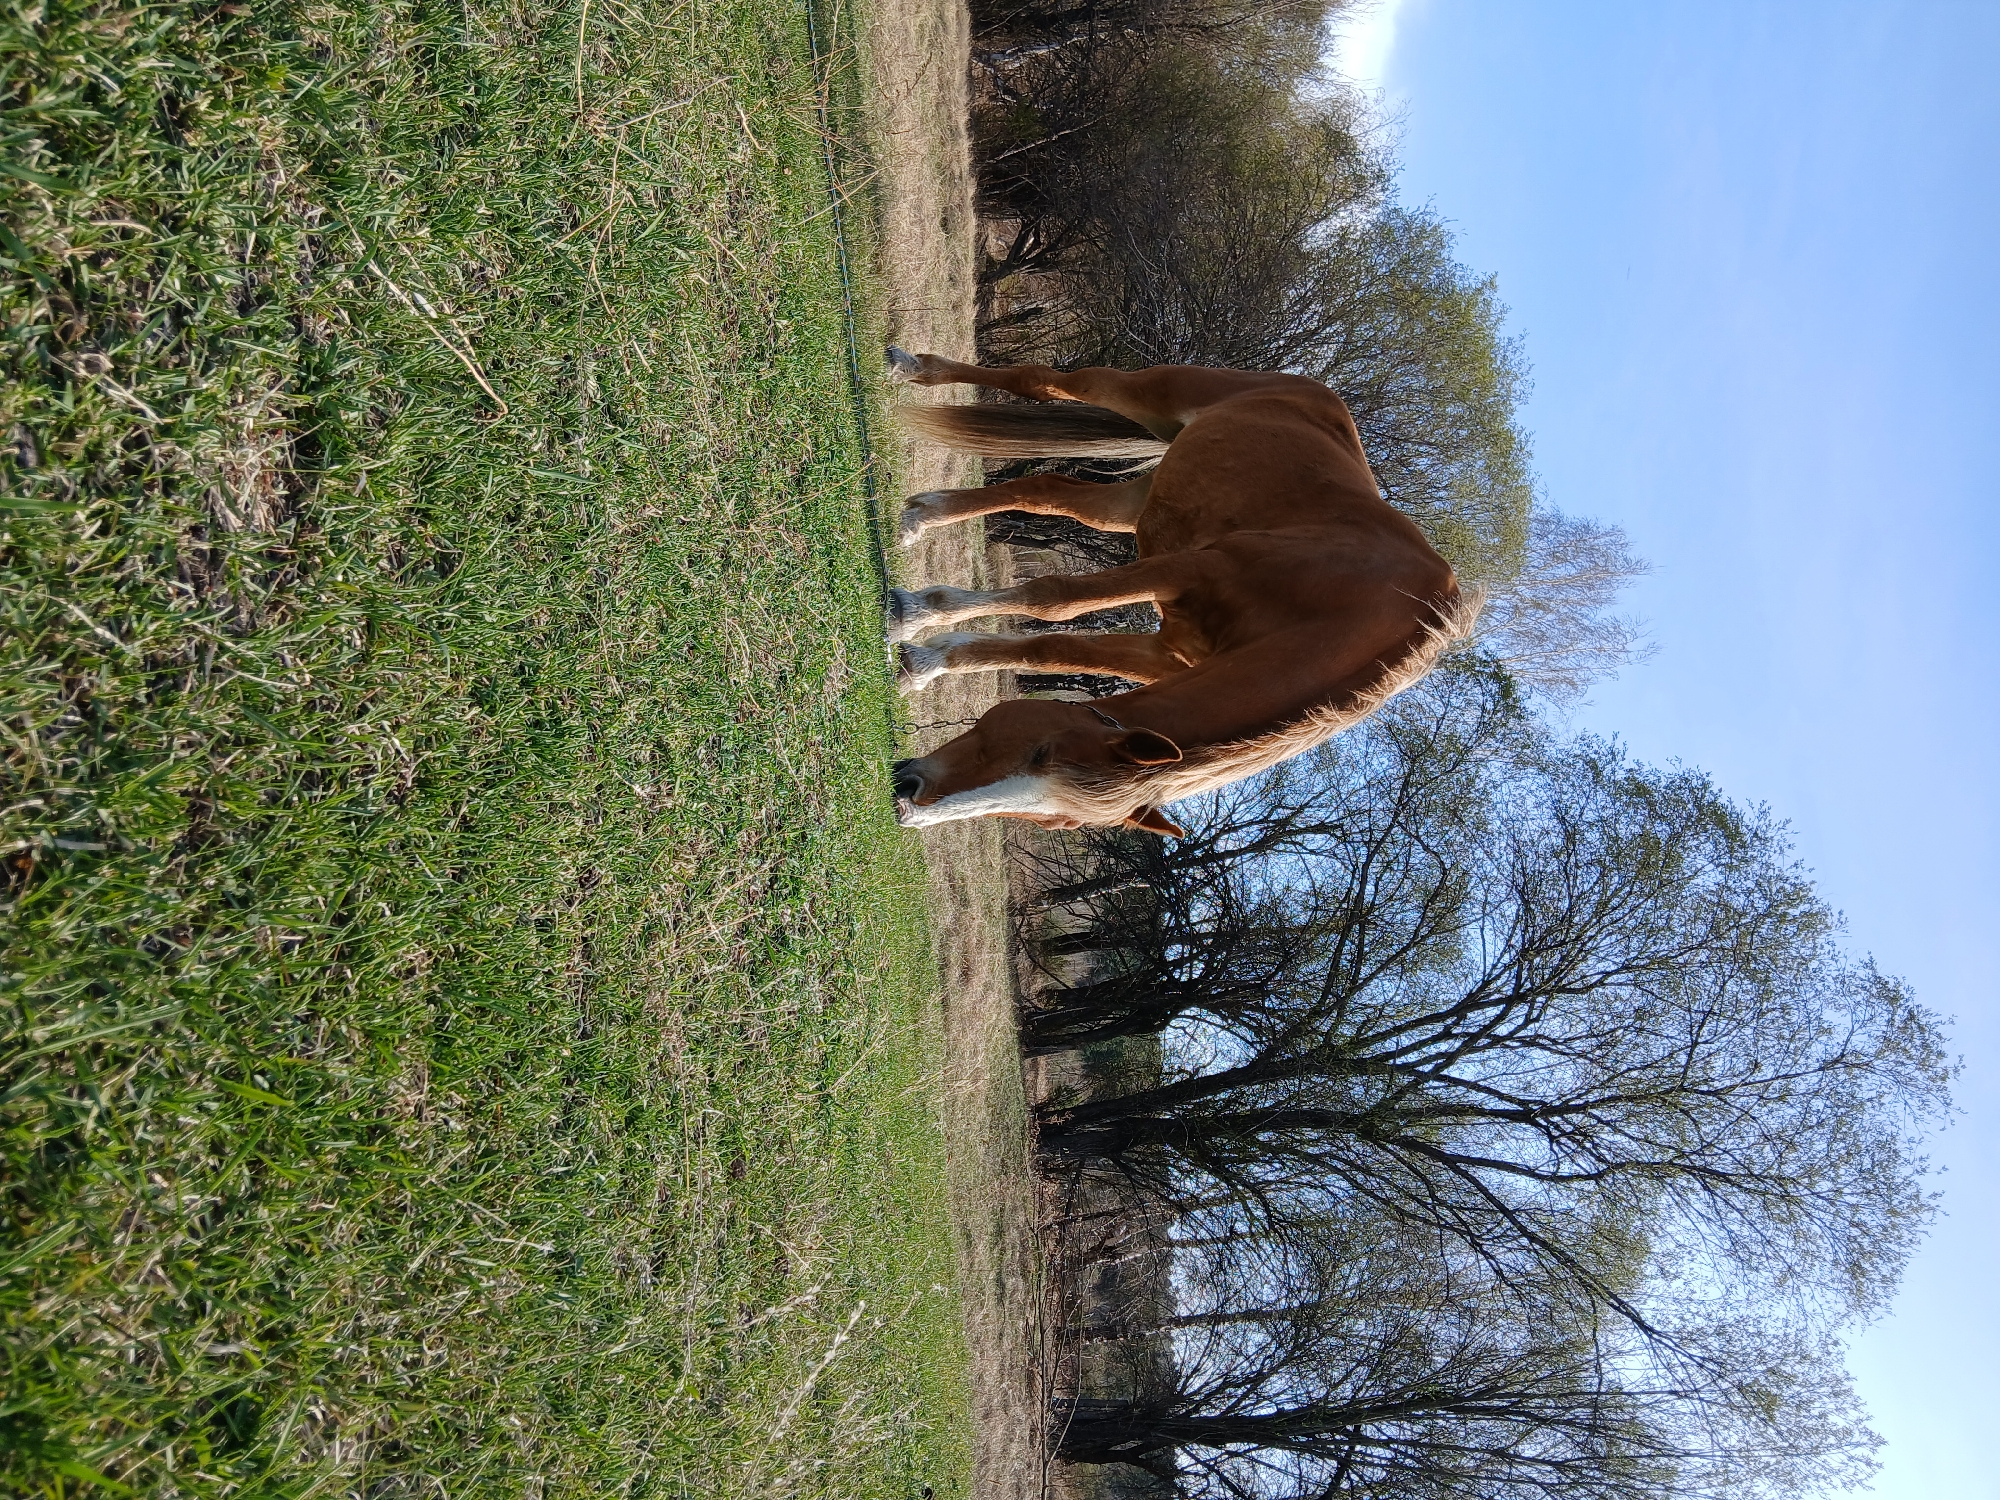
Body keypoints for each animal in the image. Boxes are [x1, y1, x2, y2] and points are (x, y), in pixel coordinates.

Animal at [883, 349, 1481, 837]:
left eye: (1055, 819)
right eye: (1039, 751)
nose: (909, 798)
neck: (1346, 608)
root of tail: (1310, 387)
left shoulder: (1163, 653)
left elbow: (1049, 648)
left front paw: (929, 658)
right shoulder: (1191, 569)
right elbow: (1054, 598)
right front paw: (913, 616)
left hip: (1130, 504)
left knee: (1046, 492)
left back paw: (925, 513)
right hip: (1140, 391)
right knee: (1042, 382)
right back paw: (913, 368)